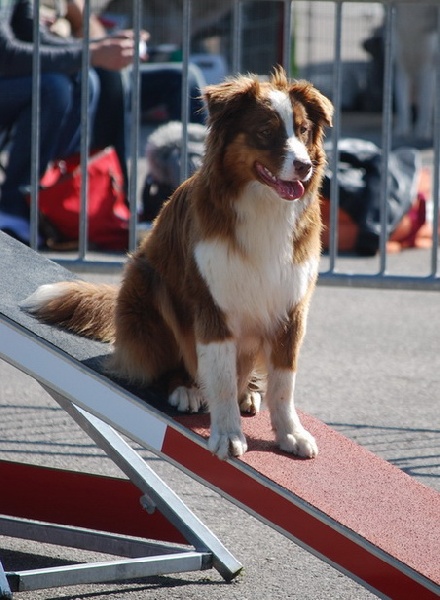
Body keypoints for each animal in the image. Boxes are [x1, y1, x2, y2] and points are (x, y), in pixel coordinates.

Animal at [24, 65, 332, 460]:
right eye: (266, 132)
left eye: (303, 130)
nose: (304, 166)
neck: (263, 205)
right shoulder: (212, 305)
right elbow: (219, 378)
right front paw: (227, 433)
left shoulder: (291, 305)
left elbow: (283, 383)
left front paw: (290, 433)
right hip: (147, 283)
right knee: (174, 362)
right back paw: (186, 388)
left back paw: (248, 391)